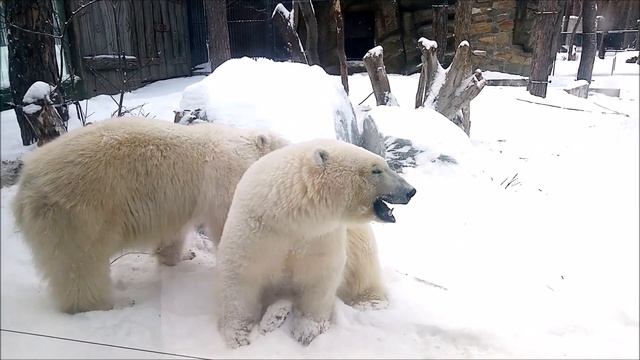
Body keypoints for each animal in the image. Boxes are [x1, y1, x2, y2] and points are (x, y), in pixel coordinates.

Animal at [11, 116, 288, 314]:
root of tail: (26, 185)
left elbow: (173, 233)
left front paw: (180, 256)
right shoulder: (226, 182)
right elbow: (229, 226)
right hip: (79, 212)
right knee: (81, 264)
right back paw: (109, 304)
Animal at [216, 139, 416, 348]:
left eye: (386, 165)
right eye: (376, 170)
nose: (411, 191)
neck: (291, 213)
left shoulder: (320, 236)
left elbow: (319, 277)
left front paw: (307, 331)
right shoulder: (258, 228)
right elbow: (241, 274)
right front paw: (238, 335)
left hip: (358, 237)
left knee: (364, 267)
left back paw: (369, 302)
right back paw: (275, 314)